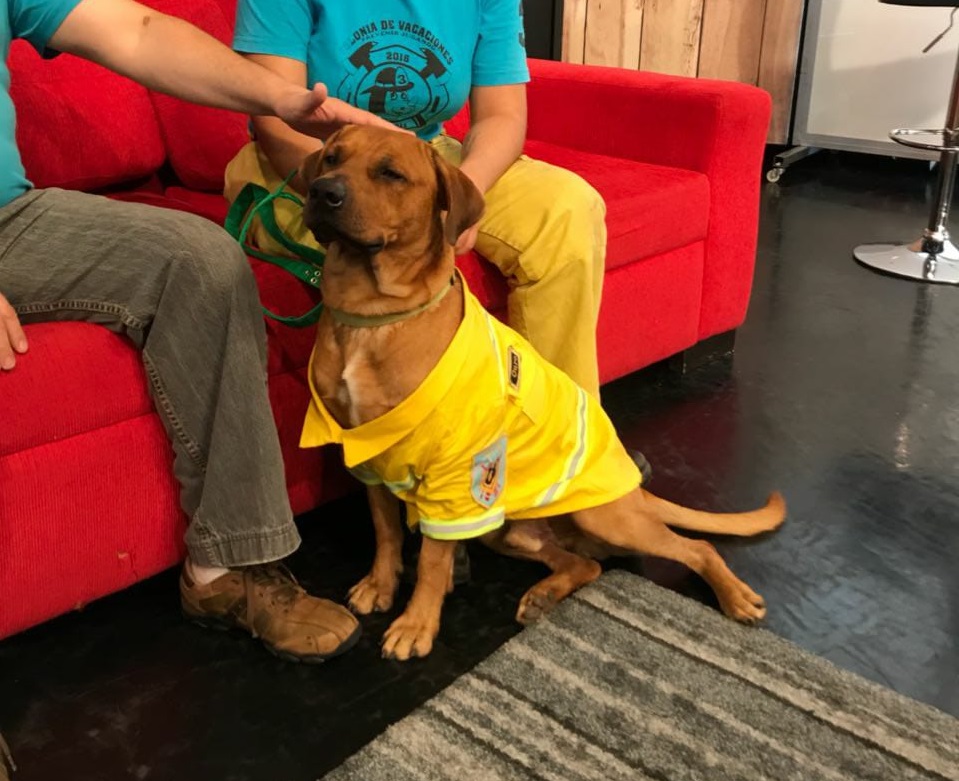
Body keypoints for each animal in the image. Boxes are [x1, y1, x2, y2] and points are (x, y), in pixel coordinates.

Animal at [302, 126, 788, 660]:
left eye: (391, 173)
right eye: (331, 157)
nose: (322, 192)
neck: (371, 315)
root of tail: (635, 491)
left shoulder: (457, 475)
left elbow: (431, 559)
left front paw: (415, 624)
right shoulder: (368, 454)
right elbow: (385, 531)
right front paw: (380, 585)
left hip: (602, 518)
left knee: (696, 547)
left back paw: (735, 596)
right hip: (509, 530)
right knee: (584, 564)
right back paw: (544, 595)